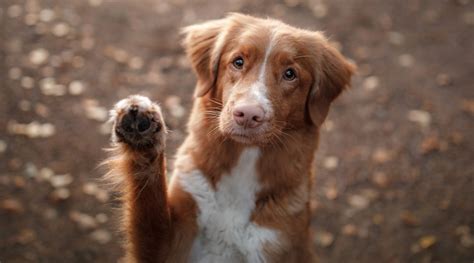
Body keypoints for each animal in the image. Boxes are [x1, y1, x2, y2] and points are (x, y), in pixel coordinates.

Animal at [104, 12, 356, 263]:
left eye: (290, 74)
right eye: (238, 62)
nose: (248, 114)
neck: (243, 164)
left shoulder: (274, 244)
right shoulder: (169, 243)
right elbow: (148, 201)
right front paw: (142, 132)